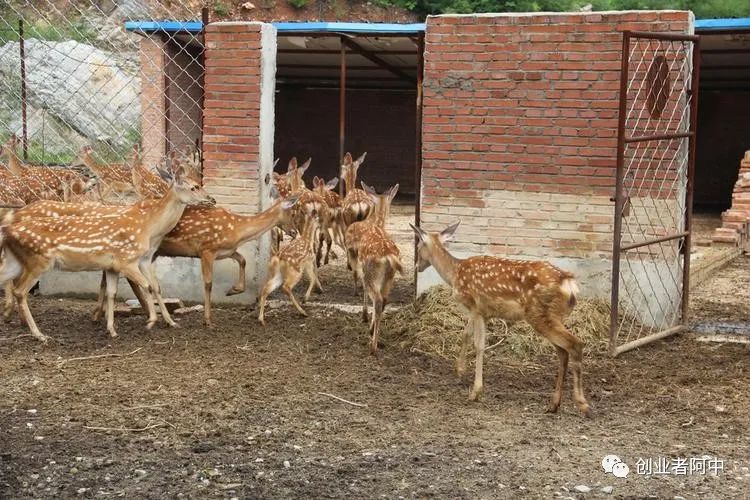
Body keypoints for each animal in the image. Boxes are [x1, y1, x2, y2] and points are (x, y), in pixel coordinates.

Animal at [0, 162, 214, 342]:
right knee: (20, 290)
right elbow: (146, 286)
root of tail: (12, 222)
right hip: (39, 261)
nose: (211, 198)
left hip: (18, 261)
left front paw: (114, 327)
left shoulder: (132, 261)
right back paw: (38, 333)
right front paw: (151, 320)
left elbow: (129, 290)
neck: (150, 228)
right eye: (194, 187)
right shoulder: (127, 260)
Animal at [412, 221, 592, 416]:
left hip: (539, 314)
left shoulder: (476, 307)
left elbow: (479, 345)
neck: (454, 274)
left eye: (418, 246)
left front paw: (475, 392)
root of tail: (569, 283)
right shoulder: (479, 311)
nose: (416, 266)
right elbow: (465, 334)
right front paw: (459, 370)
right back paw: (553, 404)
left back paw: (582, 403)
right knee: (563, 352)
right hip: (553, 316)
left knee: (575, 344)